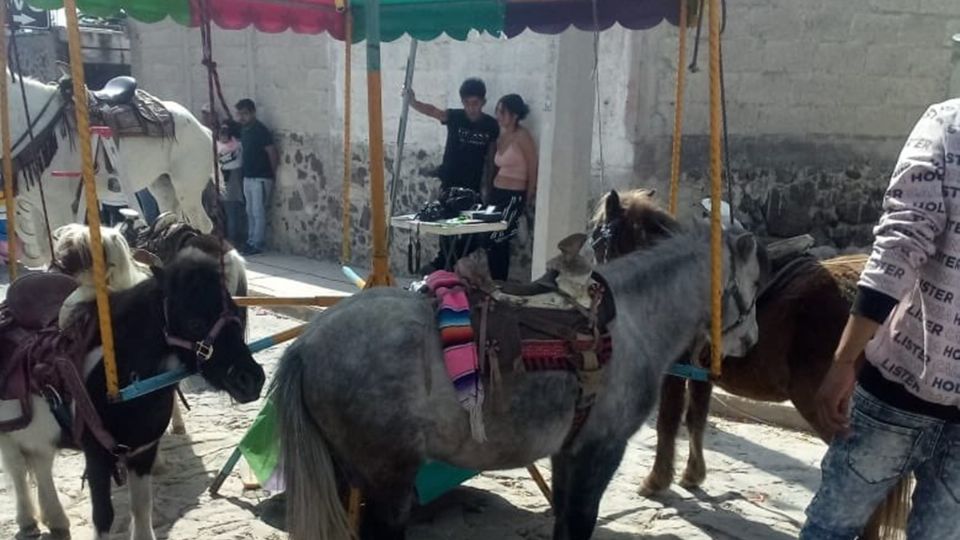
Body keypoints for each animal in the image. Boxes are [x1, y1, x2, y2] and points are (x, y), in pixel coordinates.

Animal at [0, 249, 262, 540]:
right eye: (194, 323)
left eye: (236, 314)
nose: (251, 380)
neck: (123, 386)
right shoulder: (97, 457)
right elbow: (103, 517)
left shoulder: (143, 452)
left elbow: (142, 506)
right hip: (8, 432)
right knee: (17, 469)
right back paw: (28, 521)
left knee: (41, 462)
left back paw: (56, 521)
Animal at [4, 70, 215, 268]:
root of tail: (203, 128)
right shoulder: (36, 204)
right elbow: (45, 251)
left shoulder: (60, 205)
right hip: (162, 185)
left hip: (187, 188)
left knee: (202, 225)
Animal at [274, 216, 760, 540]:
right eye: (755, 282)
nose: (750, 340)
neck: (633, 321)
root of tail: (306, 344)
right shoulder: (602, 450)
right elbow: (580, 522)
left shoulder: (569, 452)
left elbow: (565, 520)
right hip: (388, 479)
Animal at [592, 189, 916, 540]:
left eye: (597, 242)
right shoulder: (702, 371)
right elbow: (696, 419)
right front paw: (693, 475)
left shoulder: (674, 371)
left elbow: (668, 422)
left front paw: (656, 481)